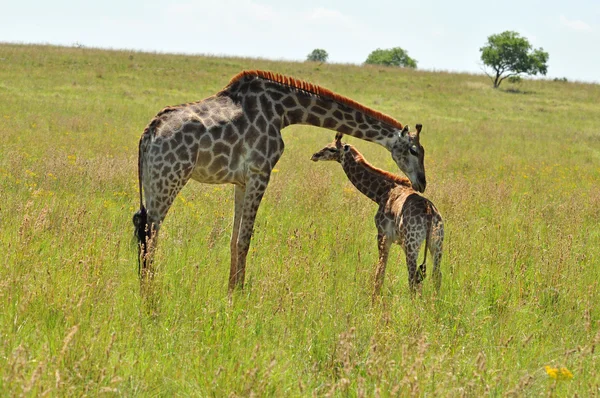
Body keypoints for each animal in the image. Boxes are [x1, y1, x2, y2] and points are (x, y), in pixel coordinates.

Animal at [135, 70, 426, 292]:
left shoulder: (242, 181)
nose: (421, 183)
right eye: (414, 151)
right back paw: (151, 297)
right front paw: (238, 296)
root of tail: (149, 133)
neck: (284, 111)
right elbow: (245, 240)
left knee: (141, 226)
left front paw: (231, 291)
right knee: (151, 233)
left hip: (152, 179)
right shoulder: (260, 171)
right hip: (171, 176)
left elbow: (234, 239)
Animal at [312, 132, 442, 296]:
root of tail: (430, 214)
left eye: (332, 149)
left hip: (413, 244)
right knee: (436, 276)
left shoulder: (383, 235)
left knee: (413, 278)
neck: (381, 193)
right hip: (436, 243)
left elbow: (379, 273)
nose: (315, 155)